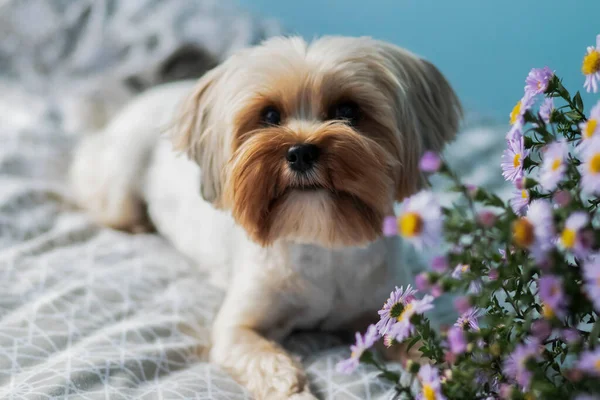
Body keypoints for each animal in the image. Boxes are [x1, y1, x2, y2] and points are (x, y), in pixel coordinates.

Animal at [71, 36, 464, 398]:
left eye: (348, 111)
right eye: (270, 116)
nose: (301, 151)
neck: (320, 239)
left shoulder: (387, 311)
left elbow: (424, 347)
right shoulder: (238, 329)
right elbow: (273, 368)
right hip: (119, 188)